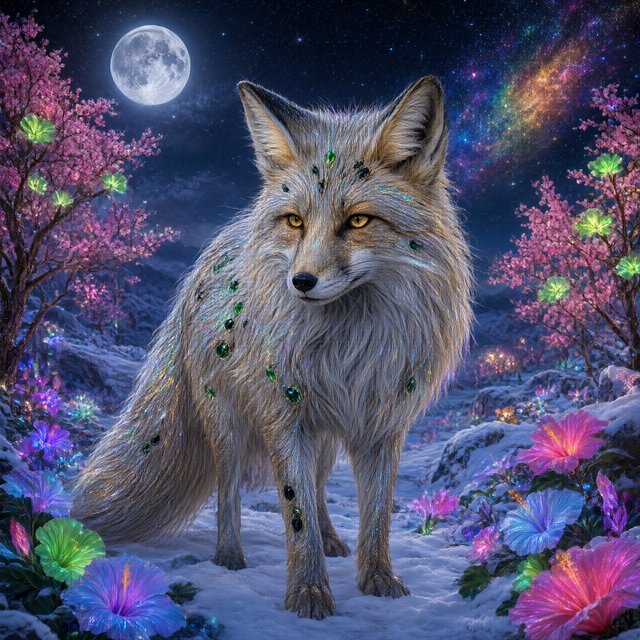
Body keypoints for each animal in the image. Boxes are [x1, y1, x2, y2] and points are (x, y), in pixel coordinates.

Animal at [71, 76, 473, 619]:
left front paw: (378, 580)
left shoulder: (382, 425)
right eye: (296, 222)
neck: (348, 348)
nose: (301, 281)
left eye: (359, 222)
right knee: (229, 489)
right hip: (228, 423)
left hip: (323, 438)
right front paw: (307, 593)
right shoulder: (285, 416)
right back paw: (230, 557)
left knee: (320, 486)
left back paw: (332, 541)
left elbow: (375, 517)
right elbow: (293, 509)